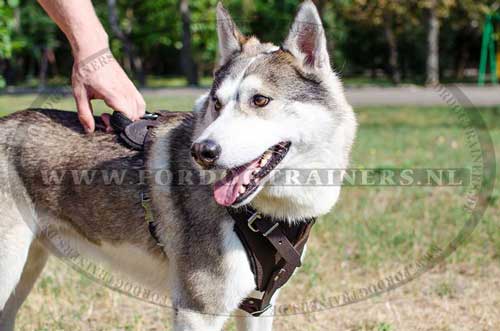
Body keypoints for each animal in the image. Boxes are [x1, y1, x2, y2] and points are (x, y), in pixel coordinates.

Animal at [0, 1, 356, 330]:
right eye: (217, 103)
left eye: (260, 100)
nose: (202, 151)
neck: (267, 215)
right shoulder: (196, 311)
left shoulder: (259, 306)